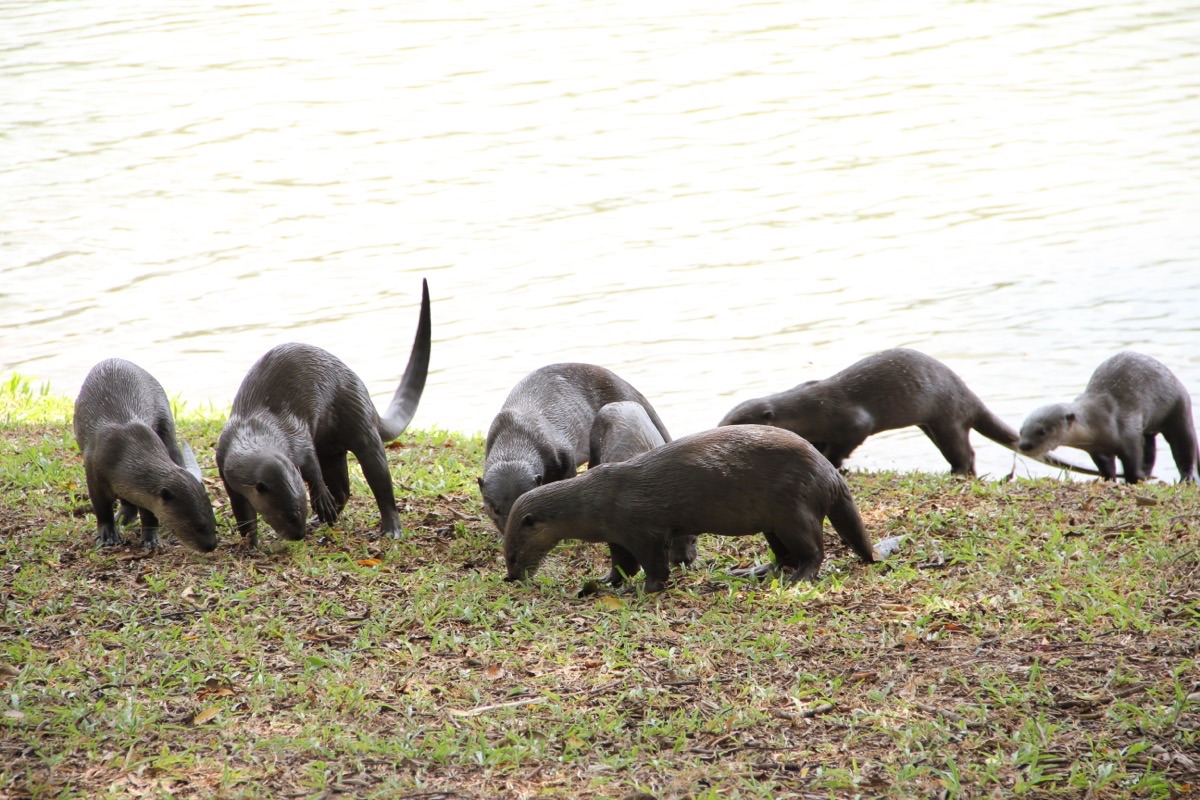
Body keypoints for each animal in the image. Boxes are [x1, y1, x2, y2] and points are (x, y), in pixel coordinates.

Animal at [73, 358, 218, 552]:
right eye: (198, 526)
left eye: (213, 522)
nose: (211, 545)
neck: (122, 454)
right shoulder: (94, 474)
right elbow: (102, 509)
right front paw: (108, 535)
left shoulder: (145, 493)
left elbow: (149, 514)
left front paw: (151, 539)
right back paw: (123, 517)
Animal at [216, 279, 431, 547]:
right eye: (289, 515)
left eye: (301, 508)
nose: (298, 535)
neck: (254, 429)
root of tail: (364, 394)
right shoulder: (224, 468)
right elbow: (242, 510)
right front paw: (250, 541)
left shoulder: (297, 435)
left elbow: (312, 468)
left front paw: (319, 498)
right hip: (331, 449)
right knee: (343, 490)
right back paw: (323, 520)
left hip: (359, 421)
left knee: (379, 480)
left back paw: (389, 528)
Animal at [504, 425, 877, 593]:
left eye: (512, 554)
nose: (511, 576)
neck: (595, 501)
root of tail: (829, 472)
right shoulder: (617, 535)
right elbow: (621, 564)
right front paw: (606, 581)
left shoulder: (641, 530)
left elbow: (654, 566)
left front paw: (641, 588)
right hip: (774, 521)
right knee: (783, 555)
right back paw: (753, 571)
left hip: (794, 511)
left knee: (814, 552)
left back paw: (798, 578)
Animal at [719, 348, 1102, 477]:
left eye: (733, 422)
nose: (717, 427)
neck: (811, 409)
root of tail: (967, 394)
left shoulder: (851, 421)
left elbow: (844, 443)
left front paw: (835, 461)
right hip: (931, 424)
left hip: (947, 417)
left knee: (966, 452)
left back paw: (957, 473)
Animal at [1019, 351, 1198, 484]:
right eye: (1021, 431)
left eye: (1042, 431)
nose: (1024, 445)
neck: (1098, 421)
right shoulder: (1097, 450)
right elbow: (1106, 468)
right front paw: (1108, 480)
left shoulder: (1128, 434)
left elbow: (1132, 462)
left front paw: (1132, 480)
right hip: (1149, 429)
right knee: (1150, 448)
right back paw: (1147, 473)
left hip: (1179, 408)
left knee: (1185, 446)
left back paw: (1188, 478)